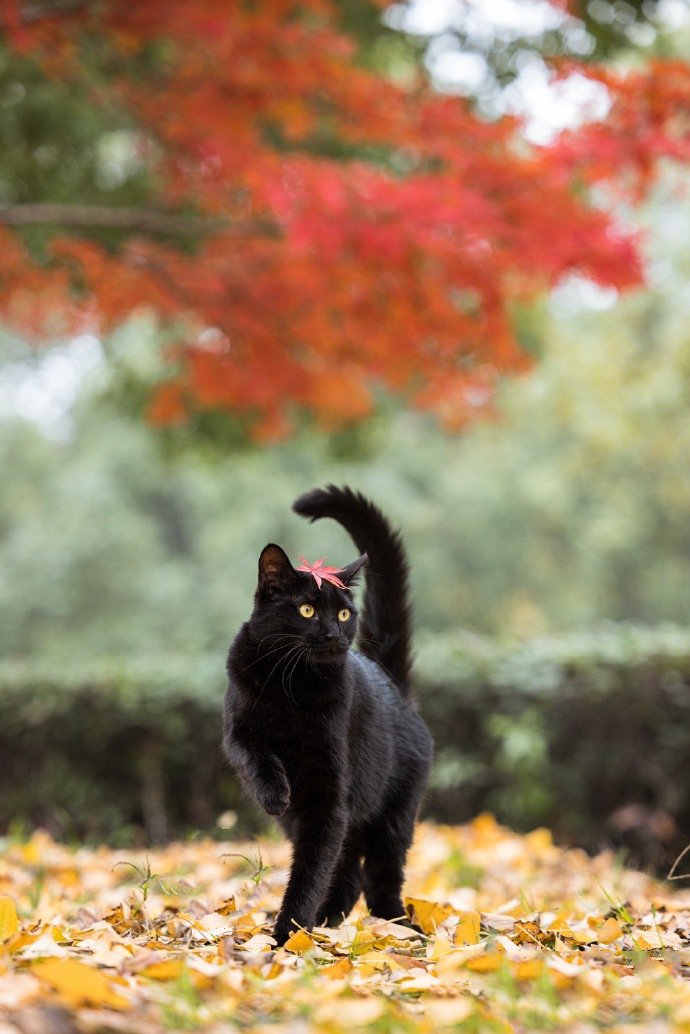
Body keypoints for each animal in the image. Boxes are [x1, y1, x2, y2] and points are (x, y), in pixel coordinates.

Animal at [224, 483, 434, 947]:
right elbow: (253, 755)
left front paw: (288, 934)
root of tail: (392, 682)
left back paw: (398, 928)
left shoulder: (328, 794)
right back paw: (328, 922)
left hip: (394, 816)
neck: (293, 689)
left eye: (343, 612)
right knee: (350, 875)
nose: (335, 632)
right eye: (306, 610)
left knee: (378, 877)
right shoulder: (237, 729)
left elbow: (311, 869)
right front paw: (273, 792)